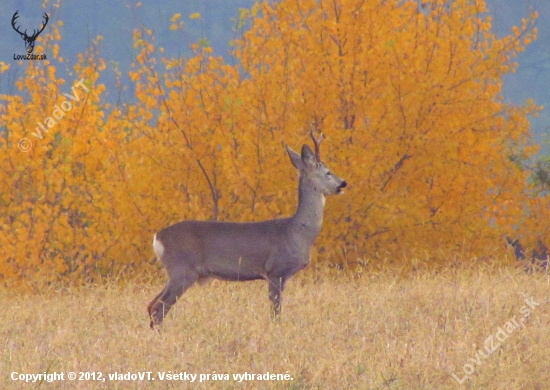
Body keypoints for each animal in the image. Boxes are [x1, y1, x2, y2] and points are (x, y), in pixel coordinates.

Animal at [149, 133, 348, 328]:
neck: (297, 232)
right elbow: (275, 312)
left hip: (177, 272)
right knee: (159, 308)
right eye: (328, 172)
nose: (343, 183)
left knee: (151, 305)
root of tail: (158, 237)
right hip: (182, 269)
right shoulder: (275, 270)